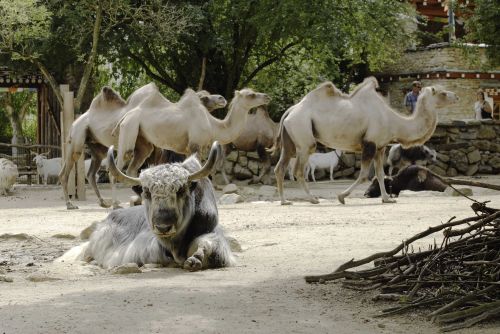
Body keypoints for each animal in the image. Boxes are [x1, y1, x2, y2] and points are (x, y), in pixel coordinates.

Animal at [59, 83, 229, 209]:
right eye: (204, 98)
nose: (221, 98)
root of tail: (77, 120)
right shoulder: (157, 150)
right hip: (77, 137)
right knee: (68, 167)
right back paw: (70, 204)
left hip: (97, 147)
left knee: (91, 172)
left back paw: (103, 202)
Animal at [114, 88, 270, 177]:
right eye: (251, 95)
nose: (267, 96)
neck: (213, 125)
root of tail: (126, 115)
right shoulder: (196, 146)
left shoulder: (190, 149)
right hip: (129, 127)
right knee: (121, 161)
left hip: (142, 138)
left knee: (133, 168)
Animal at [272, 77, 458, 205]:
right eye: (442, 93)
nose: (456, 96)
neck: (393, 121)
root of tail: (291, 110)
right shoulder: (369, 143)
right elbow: (363, 175)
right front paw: (341, 197)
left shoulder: (380, 147)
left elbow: (380, 174)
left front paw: (387, 199)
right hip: (304, 137)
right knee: (298, 170)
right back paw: (313, 199)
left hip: (290, 140)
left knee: (279, 167)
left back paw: (284, 201)